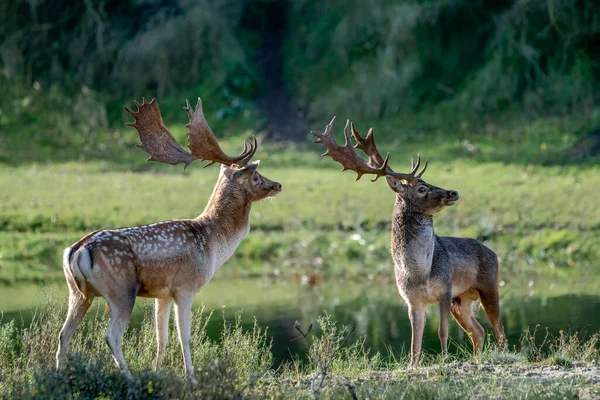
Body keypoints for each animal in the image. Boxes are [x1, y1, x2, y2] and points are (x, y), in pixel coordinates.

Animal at [56, 97, 282, 384]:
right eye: (255, 176)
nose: (277, 185)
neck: (213, 243)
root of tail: (77, 250)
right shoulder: (185, 287)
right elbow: (185, 337)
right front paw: (191, 379)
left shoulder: (161, 293)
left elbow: (160, 339)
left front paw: (158, 372)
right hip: (122, 290)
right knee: (111, 336)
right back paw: (129, 378)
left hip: (77, 292)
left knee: (64, 334)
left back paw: (58, 377)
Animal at [314, 118, 506, 366]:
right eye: (422, 188)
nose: (453, 192)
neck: (419, 273)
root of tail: (493, 252)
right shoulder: (412, 300)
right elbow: (416, 341)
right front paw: (413, 365)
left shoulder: (445, 289)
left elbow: (442, 332)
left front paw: (443, 360)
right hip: (462, 299)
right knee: (480, 331)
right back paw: (477, 359)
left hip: (489, 284)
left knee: (499, 330)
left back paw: (503, 355)